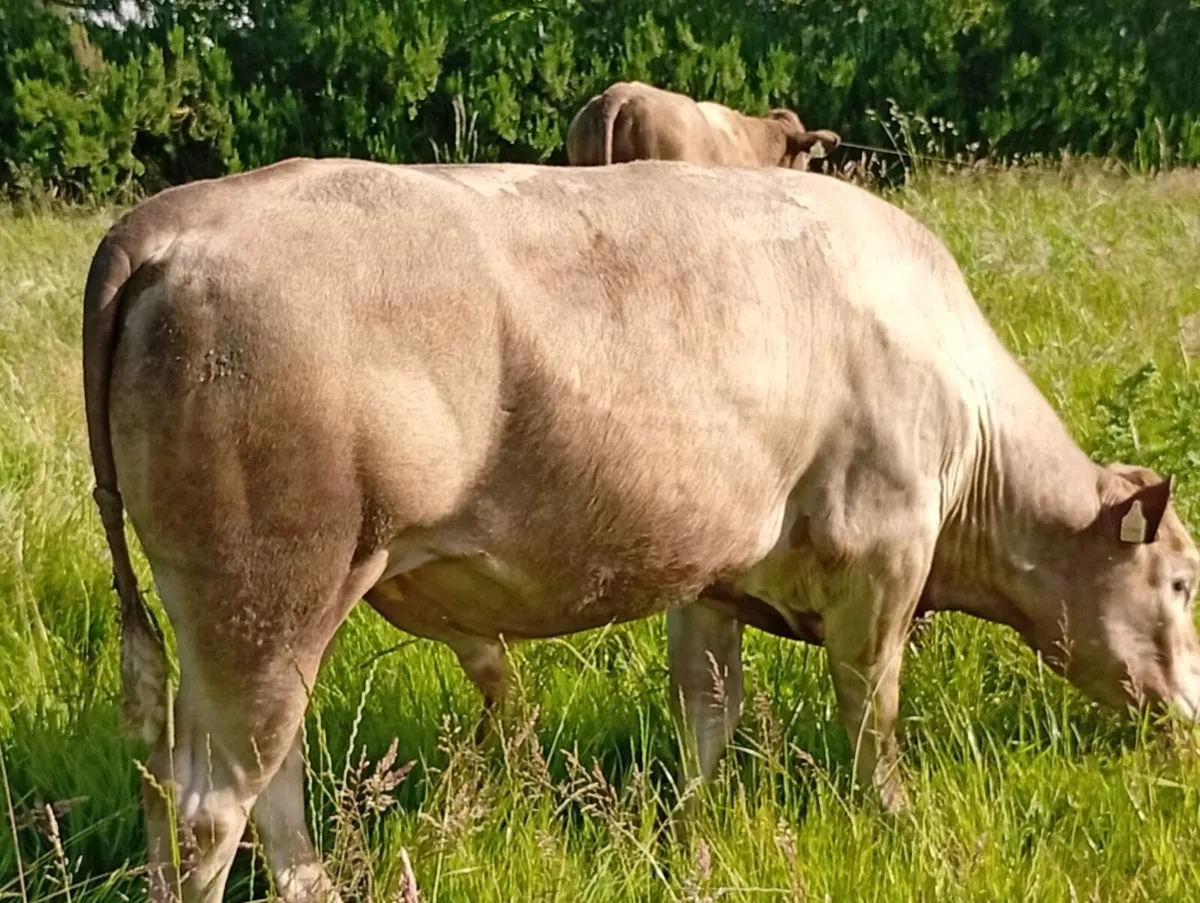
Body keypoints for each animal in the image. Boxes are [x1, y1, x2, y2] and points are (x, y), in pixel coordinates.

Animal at [83, 157, 1200, 902]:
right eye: (1185, 581)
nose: (1190, 716)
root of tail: (168, 221)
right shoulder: (882, 559)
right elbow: (869, 713)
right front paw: (892, 818)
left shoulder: (712, 575)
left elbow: (708, 718)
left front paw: (695, 837)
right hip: (266, 598)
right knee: (216, 803)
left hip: (240, 621)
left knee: (249, 777)